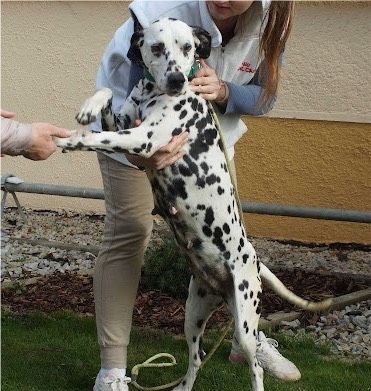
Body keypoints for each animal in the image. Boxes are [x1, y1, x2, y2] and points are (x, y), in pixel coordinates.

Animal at [56, 18, 332, 391]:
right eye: (157, 47)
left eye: (188, 47)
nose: (176, 80)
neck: (152, 93)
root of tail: (254, 260)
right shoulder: (126, 125)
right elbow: (107, 96)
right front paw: (89, 106)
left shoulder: (143, 139)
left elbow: (100, 137)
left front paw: (75, 138)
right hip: (193, 314)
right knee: (197, 357)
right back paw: (183, 387)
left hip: (246, 320)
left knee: (254, 366)